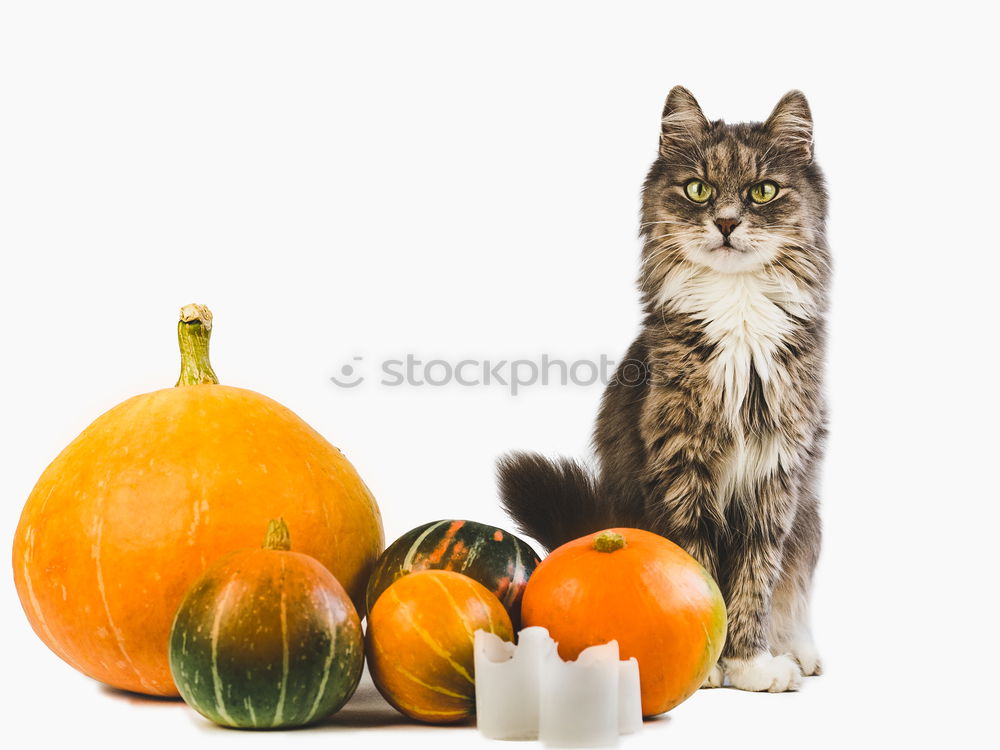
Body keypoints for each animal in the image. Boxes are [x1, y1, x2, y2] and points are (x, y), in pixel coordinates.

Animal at [500, 86, 828, 692]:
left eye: (763, 191)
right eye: (698, 189)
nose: (726, 222)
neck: (738, 314)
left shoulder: (775, 475)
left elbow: (756, 577)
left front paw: (750, 662)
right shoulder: (681, 463)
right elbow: (698, 561)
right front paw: (712, 665)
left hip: (809, 516)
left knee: (793, 589)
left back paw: (797, 651)